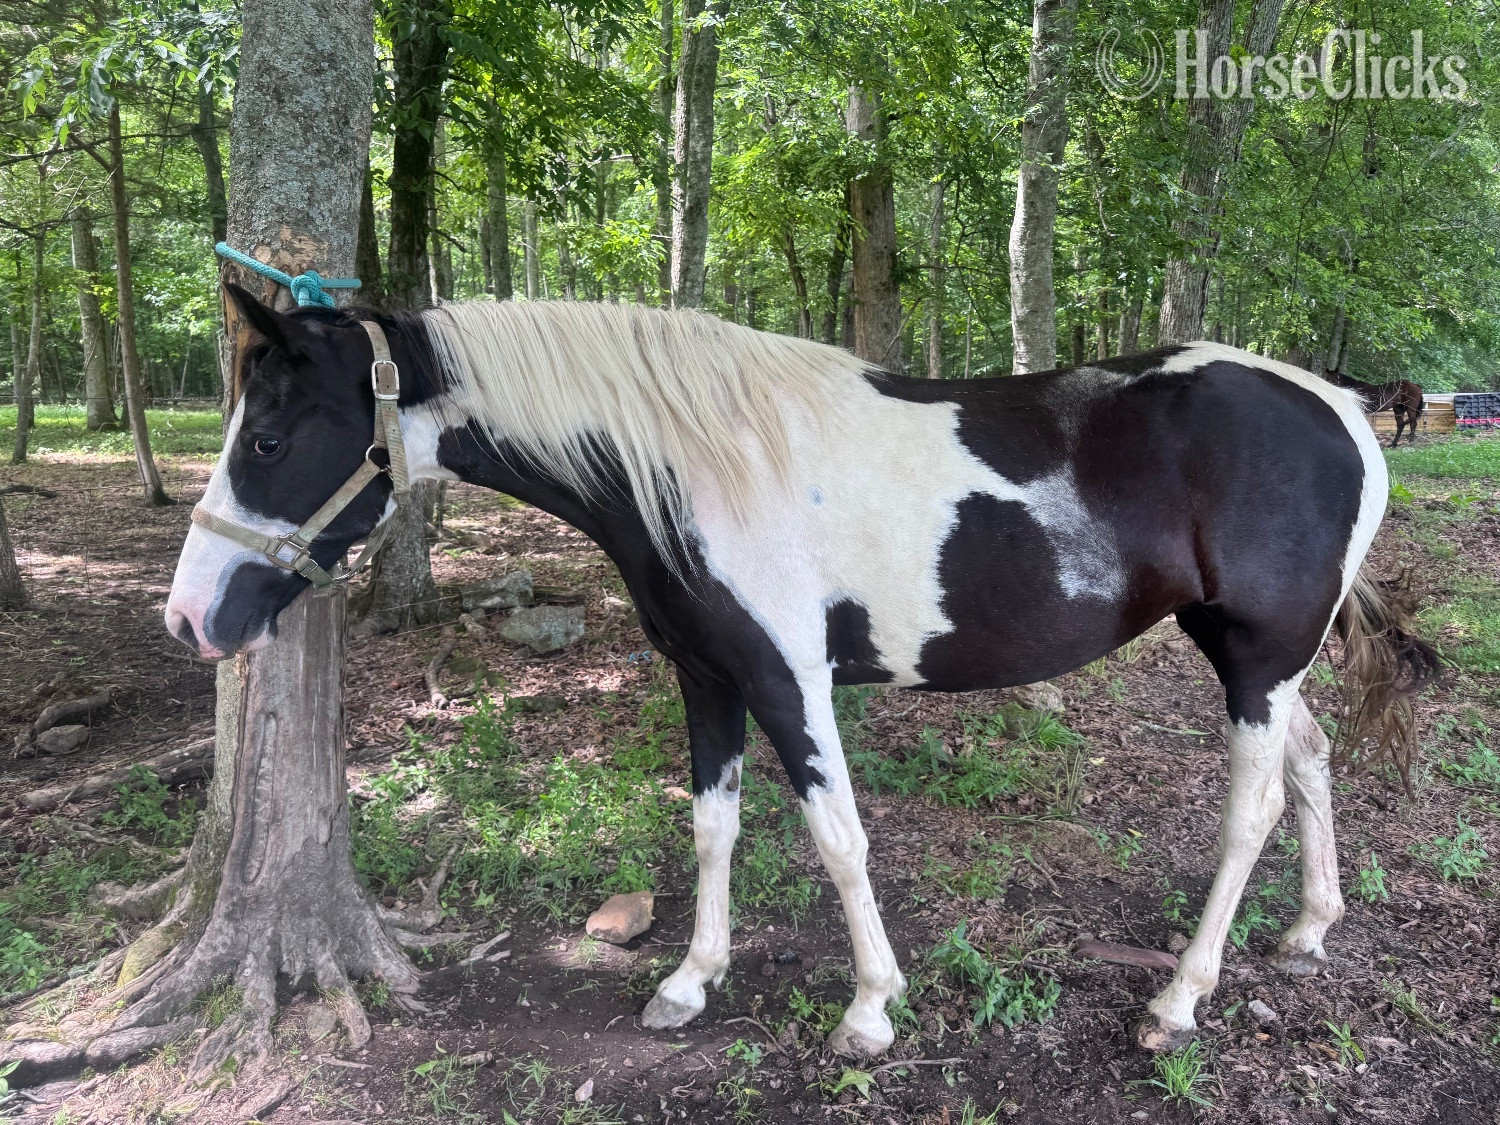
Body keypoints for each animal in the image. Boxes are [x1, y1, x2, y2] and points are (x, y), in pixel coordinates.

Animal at [165, 287, 1440, 1057]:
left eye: (268, 437)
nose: (189, 617)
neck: (691, 463)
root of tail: (1339, 399)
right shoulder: (707, 680)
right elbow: (712, 829)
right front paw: (690, 982)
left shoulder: (792, 684)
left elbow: (838, 839)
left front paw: (871, 1010)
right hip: (1249, 653)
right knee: (1312, 761)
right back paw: (1309, 929)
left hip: (1257, 656)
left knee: (1253, 802)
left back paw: (1179, 998)